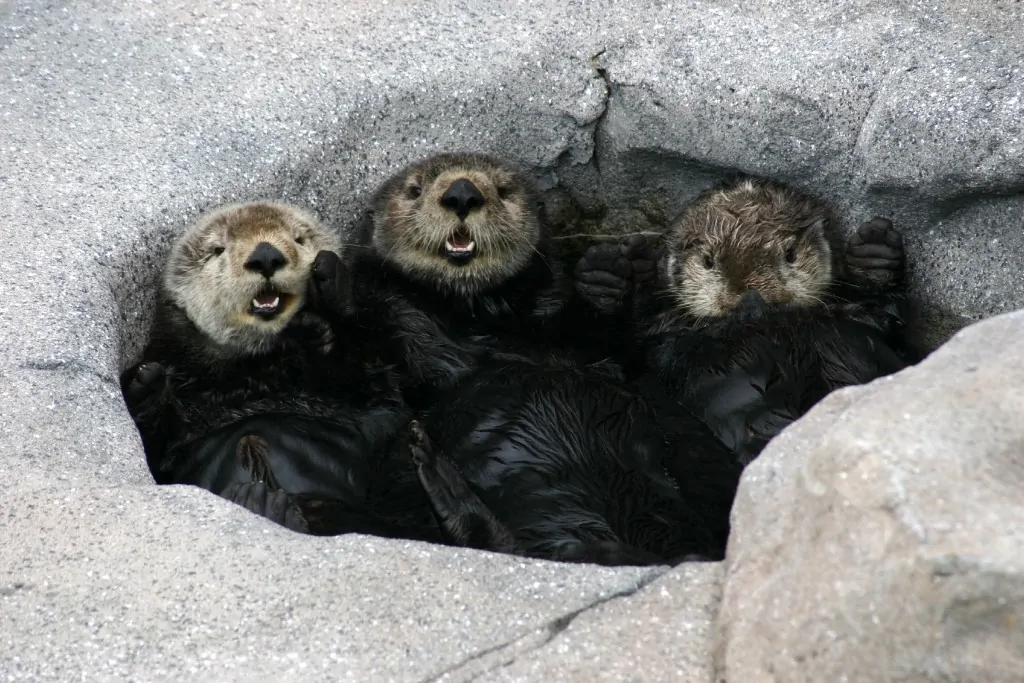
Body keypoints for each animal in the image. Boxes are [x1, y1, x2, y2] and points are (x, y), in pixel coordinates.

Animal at [119, 202, 440, 540]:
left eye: (299, 239)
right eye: (217, 250)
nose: (265, 255)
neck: (259, 371)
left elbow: (378, 397)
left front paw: (328, 298)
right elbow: (159, 451)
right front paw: (145, 384)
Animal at [573, 176, 917, 466]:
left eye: (790, 254)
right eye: (708, 261)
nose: (750, 296)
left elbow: (888, 319)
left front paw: (874, 254)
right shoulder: (657, 340)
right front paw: (609, 275)